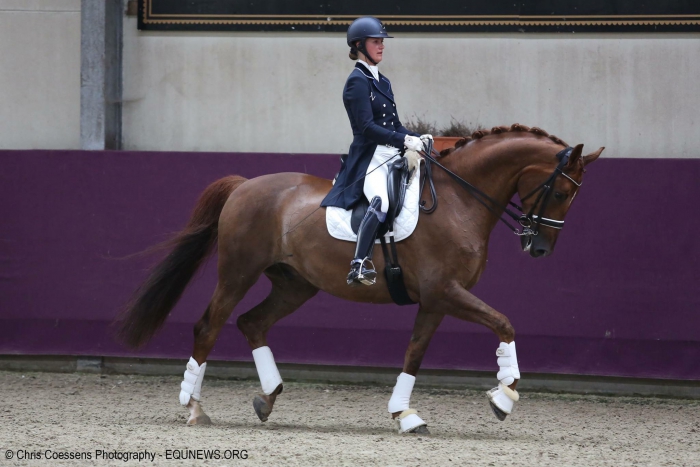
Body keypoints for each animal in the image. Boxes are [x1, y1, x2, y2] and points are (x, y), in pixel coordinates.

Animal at [115, 122, 600, 434]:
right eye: (560, 192)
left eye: (572, 197)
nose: (539, 248)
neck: (460, 200)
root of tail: (243, 185)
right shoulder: (446, 291)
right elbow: (504, 323)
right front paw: (503, 399)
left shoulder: (435, 300)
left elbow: (414, 354)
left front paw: (405, 416)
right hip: (238, 272)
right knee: (209, 325)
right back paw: (195, 408)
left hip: (295, 284)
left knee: (252, 322)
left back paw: (267, 397)